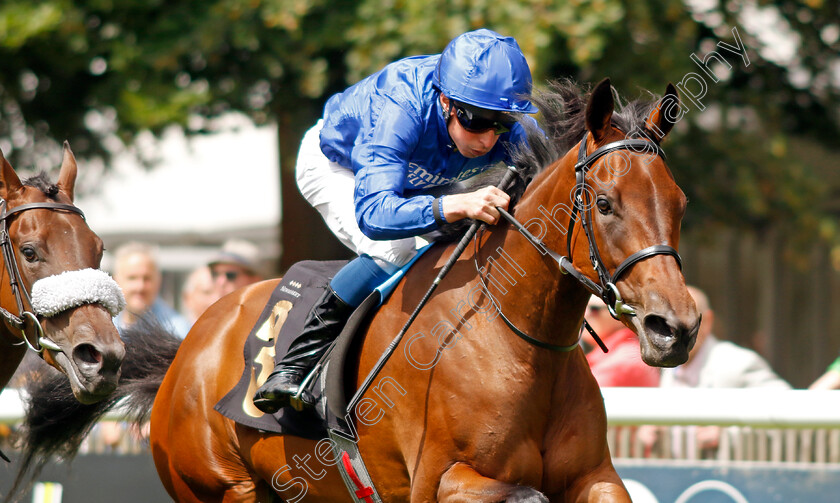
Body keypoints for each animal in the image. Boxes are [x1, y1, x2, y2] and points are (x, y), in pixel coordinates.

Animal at [21, 79, 704, 500]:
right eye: (606, 204)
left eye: (679, 201)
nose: (675, 328)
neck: (514, 339)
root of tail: (187, 349)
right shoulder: (443, 480)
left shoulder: (596, 475)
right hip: (222, 486)